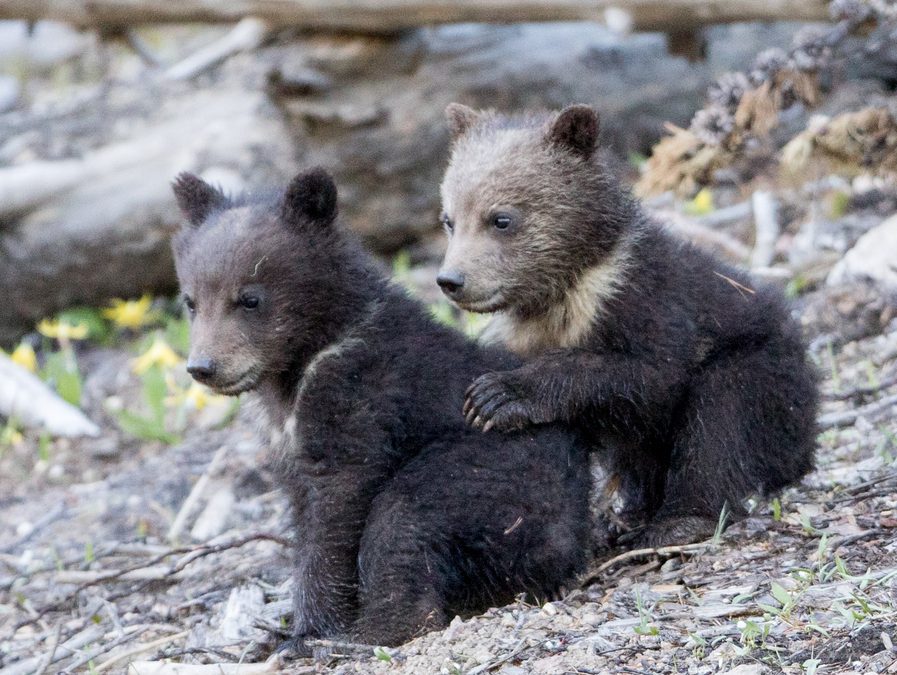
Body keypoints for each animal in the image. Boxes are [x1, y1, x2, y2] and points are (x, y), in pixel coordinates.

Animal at [170, 167, 592, 649]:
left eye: (250, 298)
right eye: (191, 301)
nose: (203, 367)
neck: (297, 372)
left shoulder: (360, 397)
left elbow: (338, 509)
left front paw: (311, 629)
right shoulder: (286, 440)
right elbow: (302, 507)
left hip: (504, 475)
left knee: (404, 515)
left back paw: (377, 628)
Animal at [436, 103, 818, 548]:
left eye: (501, 219)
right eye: (449, 219)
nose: (451, 280)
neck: (560, 294)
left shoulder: (647, 300)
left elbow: (647, 373)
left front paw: (497, 395)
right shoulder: (525, 333)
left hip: (765, 369)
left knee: (721, 420)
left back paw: (681, 519)